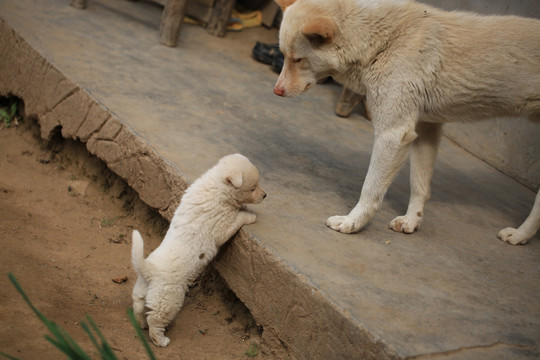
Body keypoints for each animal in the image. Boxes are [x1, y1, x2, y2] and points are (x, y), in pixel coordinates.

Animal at [131, 154, 266, 346]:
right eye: (253, 188)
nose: (265, 195)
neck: (218, 186)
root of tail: (148, 270)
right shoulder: (222, 226)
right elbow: (238, 218)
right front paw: (250, 215)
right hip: (168, 299)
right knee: (156, 320)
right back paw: (161, 340)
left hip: (143, 291)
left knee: (139, 308)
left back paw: (141, 324)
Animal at [274, 0, 540, 245]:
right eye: (284, 56)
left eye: (298, 59)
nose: (276, 91)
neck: (381, 41)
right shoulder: (426, 129)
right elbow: (419, 185)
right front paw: (412, 220)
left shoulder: (393, 135)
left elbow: (370, 189)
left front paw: (352, 222)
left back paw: (520, 235)